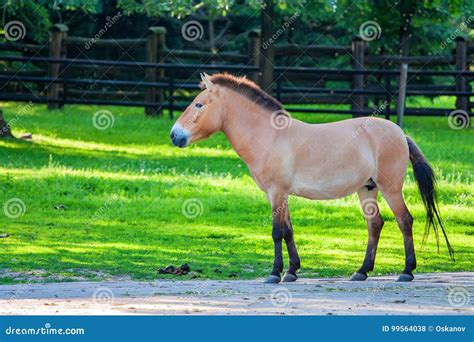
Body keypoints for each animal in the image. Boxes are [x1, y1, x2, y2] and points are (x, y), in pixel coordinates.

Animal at [169, 72, 452, 284]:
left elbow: (277, 232)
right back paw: (361, 272)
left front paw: (275, 274)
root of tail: (399, 133)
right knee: (375, 225)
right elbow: (289, 231)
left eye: (199, 104)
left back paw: (406, 271)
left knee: (404, 221)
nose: (174, 135)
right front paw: (292, 271)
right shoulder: (281, 195)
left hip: (390, 188)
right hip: (367, 189)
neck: (270, 136)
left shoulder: (276, 192)